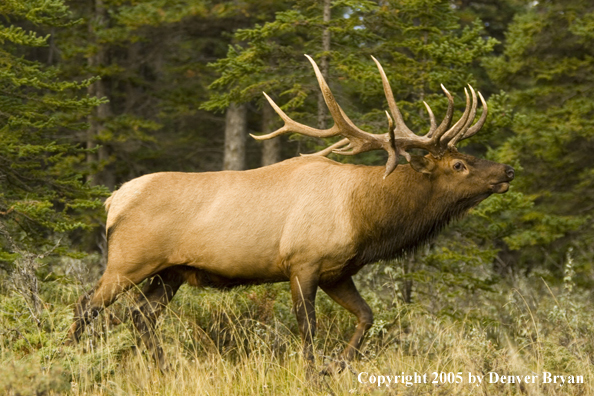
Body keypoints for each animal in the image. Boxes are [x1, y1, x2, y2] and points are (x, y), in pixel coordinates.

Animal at [63, 55, 508, 374]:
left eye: (467, 156)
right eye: (458, 165)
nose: (507, 171)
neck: (365, 218)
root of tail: (113, 200)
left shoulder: (337, 271)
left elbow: (366, 316)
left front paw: (336, 367)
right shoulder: (303, 262)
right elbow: (308, 330)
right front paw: (314, 374)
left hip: (170, 272)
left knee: (140, 316)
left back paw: (164, 369)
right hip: (128, 261)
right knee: (86, 305)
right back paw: (66, 359)